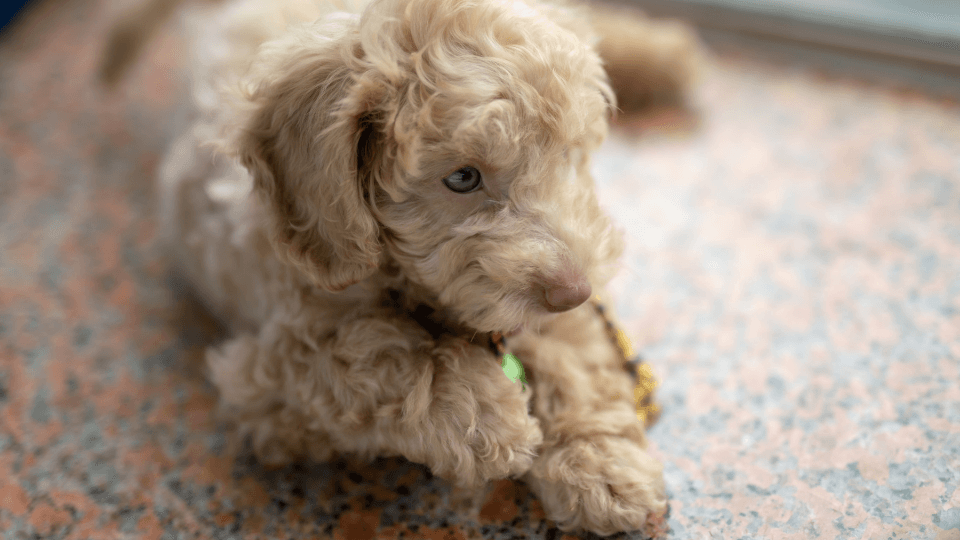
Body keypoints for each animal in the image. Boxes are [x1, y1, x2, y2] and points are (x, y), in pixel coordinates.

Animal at [137, 0, 704, 532]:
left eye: (567, 156)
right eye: (462, 178)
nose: (574, 291)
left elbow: (572, 358)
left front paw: (602, 465)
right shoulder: (265, 384)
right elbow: (365, 354)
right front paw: (485, 416)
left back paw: (666, 55)